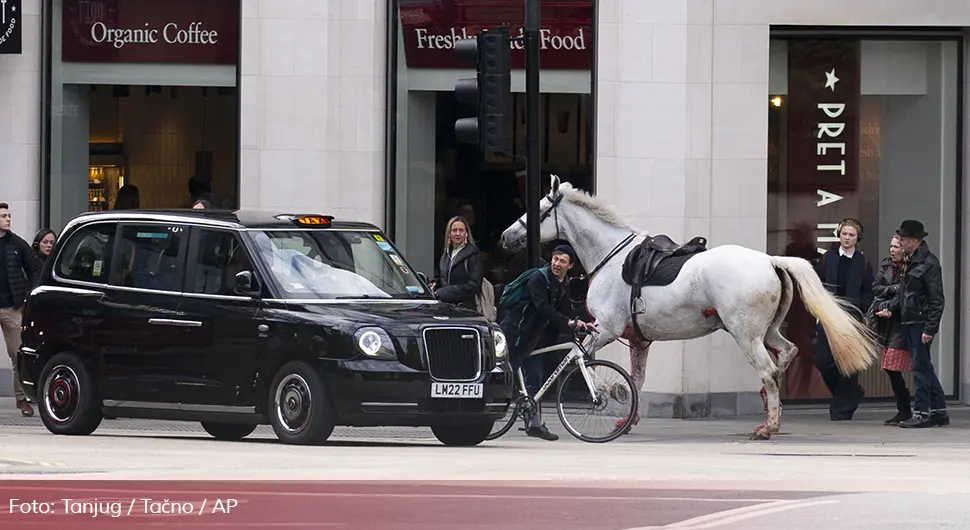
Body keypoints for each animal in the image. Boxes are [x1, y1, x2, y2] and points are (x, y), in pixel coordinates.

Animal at [500, 175, 876, 440]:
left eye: (539, 209)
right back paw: (770, 408)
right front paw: (627, 416)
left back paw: (767, 427)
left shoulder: (603, 329)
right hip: (767, 332)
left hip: (746, 335)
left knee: (769, 370)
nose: (506, 237)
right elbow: (636, 378)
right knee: (787, 353)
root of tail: (771, 260)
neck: (611, 256)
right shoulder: (637, 340)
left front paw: (609, 392)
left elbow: (582, 363)